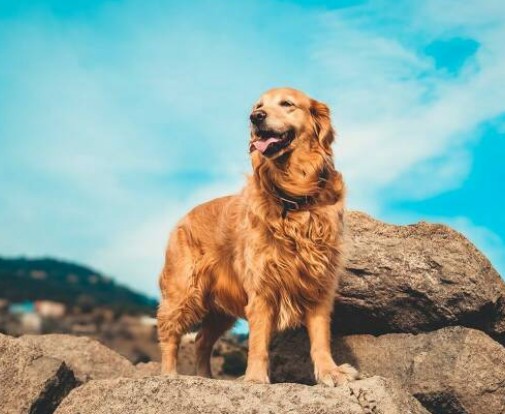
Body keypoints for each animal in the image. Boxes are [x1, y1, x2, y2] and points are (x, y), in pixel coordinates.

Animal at [158, 87, 358, 384]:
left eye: (287, 104)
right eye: (258, 106)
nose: (256, 117)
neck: (293, 197)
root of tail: (182, 219)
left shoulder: (318, 282)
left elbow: (320, 337)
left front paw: (329, 371)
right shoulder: (262, 286)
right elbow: (258, 341)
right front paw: (254, 378)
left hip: (219, 309)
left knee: (202, 340)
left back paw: (206, 377)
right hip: (184, 290)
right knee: (170, 333)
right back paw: (170, 374)